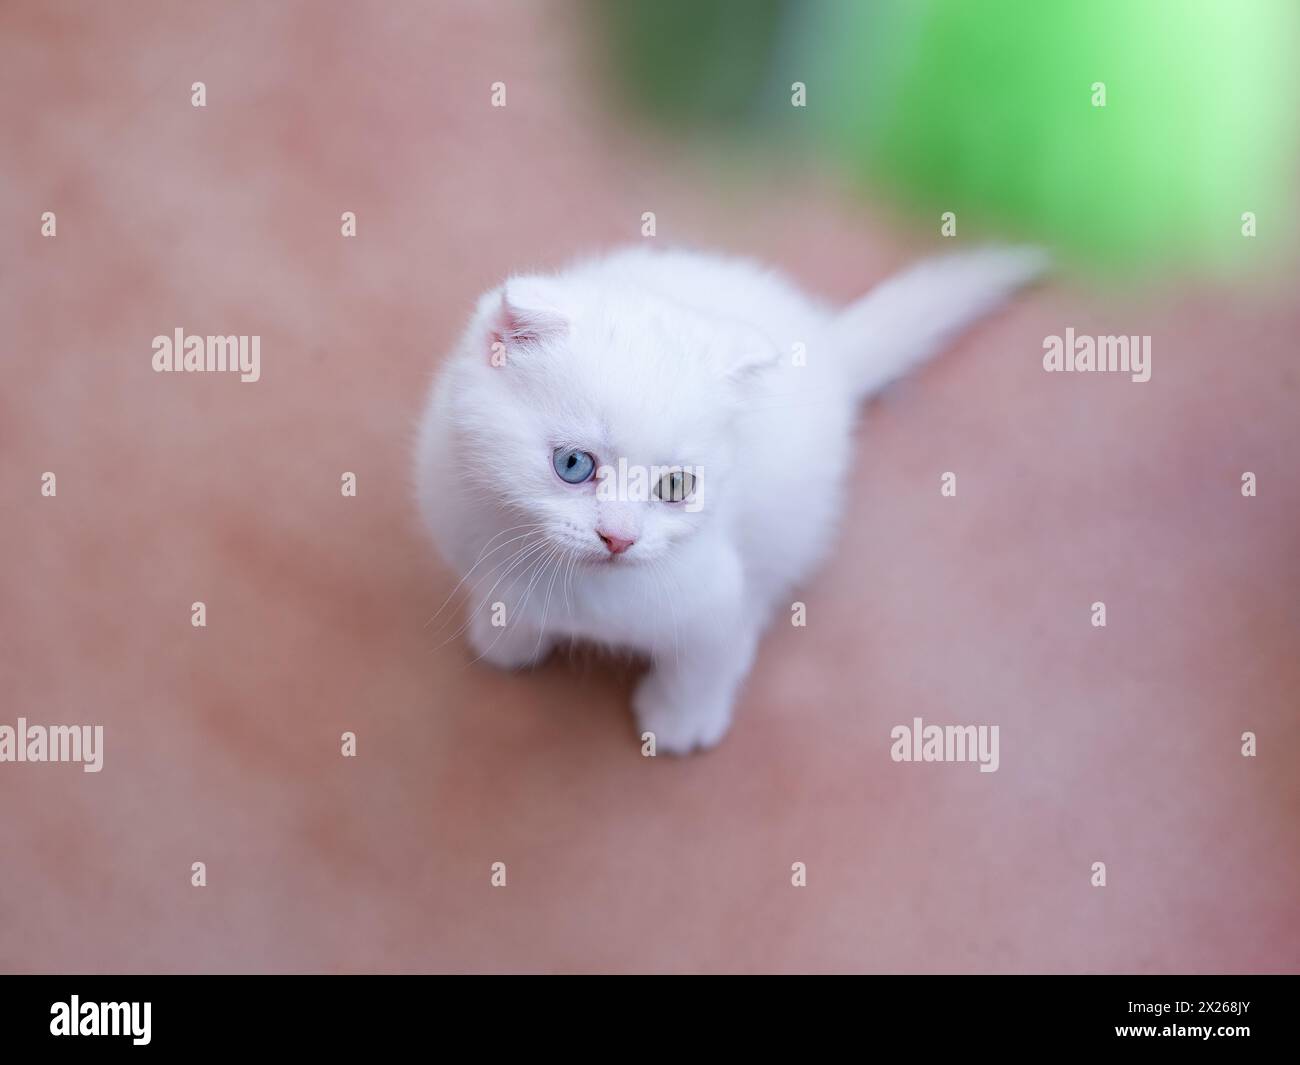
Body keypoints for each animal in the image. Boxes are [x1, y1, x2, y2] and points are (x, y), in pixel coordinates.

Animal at [416, 245, 1045, 754]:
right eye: (573, 464)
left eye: (676, 486)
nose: (619, 537)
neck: (578, 590)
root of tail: (827, 342)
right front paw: (507, 631)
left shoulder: (712, 591)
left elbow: (705, 657)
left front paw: (680, 718)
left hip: (792, 516)